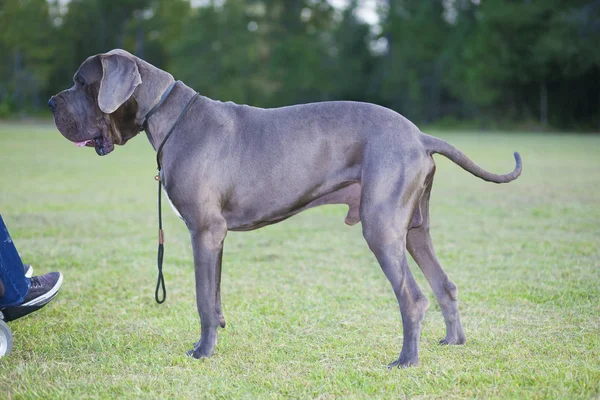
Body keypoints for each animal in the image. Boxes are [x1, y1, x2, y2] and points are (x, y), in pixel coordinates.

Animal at [49, 48, 524, 368]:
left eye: (81, 82)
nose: (52, 103)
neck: (169, 116)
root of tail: (421, 135)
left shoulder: (203, 230)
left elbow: (202, 299)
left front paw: (202, 352)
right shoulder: (216, 236)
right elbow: (215, 296)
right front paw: (216, 338)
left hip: (382, 228)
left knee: (413, 297)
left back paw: (406, 360)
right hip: (413, 230)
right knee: (445, 285)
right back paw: (453, 342)